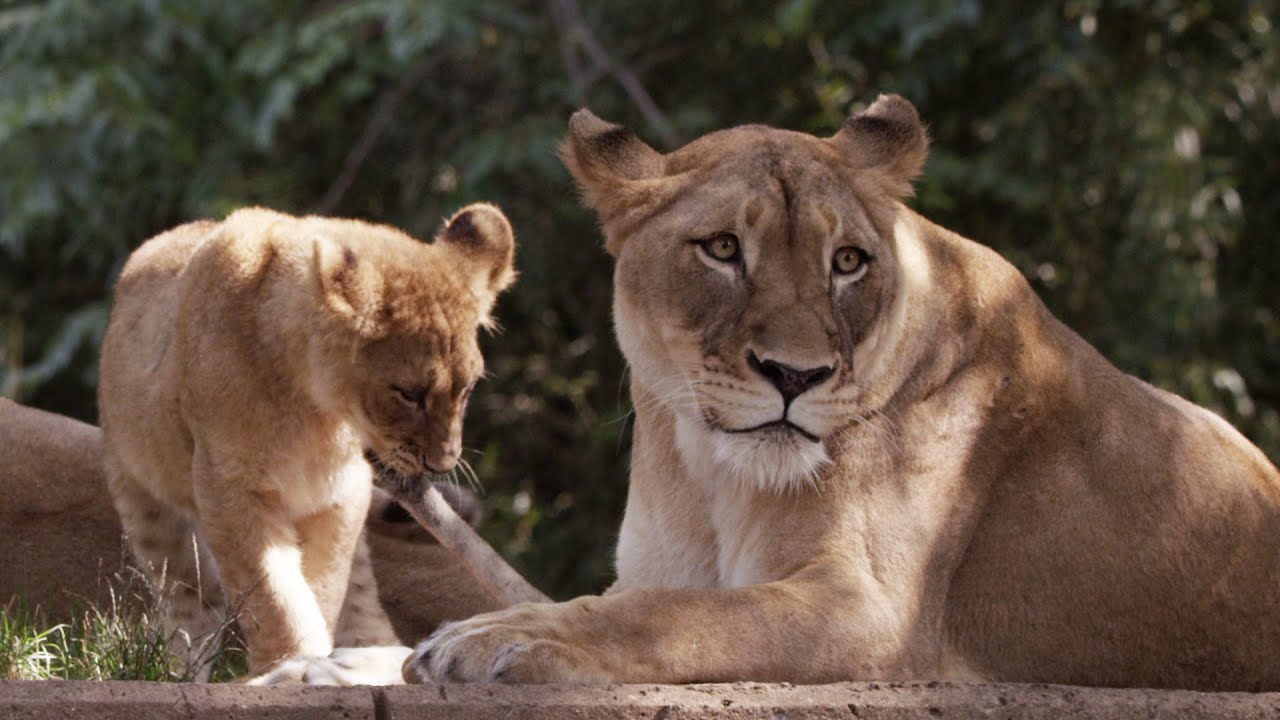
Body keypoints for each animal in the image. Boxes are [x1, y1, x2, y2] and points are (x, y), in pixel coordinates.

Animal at [98, 203, 515, 682]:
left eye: (467, 389)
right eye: (409, 393)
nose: (443, 464)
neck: (315, 412)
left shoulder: (340, 495)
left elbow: (322, 584)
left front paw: (314, 662)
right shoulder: (228, 488)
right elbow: (274, 594)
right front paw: (288, 663)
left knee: (362, 602)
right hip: (143, 498)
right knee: (189, 601)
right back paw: (177, 670)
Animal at [405, 95, 1280, 690]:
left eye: (848, 262)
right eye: (723, 248)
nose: (796, 376)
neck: (707, 472)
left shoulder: (872, 612)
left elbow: (672, 614)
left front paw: (494, 638)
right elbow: (637, 597)